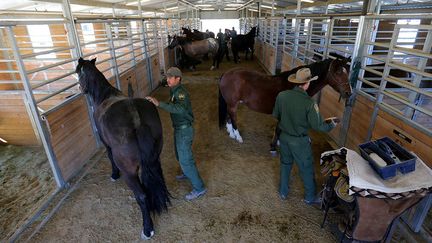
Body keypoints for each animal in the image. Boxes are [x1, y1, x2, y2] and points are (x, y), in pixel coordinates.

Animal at [75, 58, 170, 240]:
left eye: (78, 73)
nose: (81, 90)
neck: (105, 96)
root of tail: (136, 118)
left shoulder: (106, 144)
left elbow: (110, 156)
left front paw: (114, 175)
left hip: (129, 171)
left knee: (141, 195)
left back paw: (147, 229)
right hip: (155, 159)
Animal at [218, 58, 352, 144]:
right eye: (338, 72)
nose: (349, 93)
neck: (295, 85)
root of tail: (226, 74)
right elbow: (279, 128)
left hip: (231, 104)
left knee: (229, 117)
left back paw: (231, 134)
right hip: (232, 104)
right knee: (233, 118)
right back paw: (238, 137)